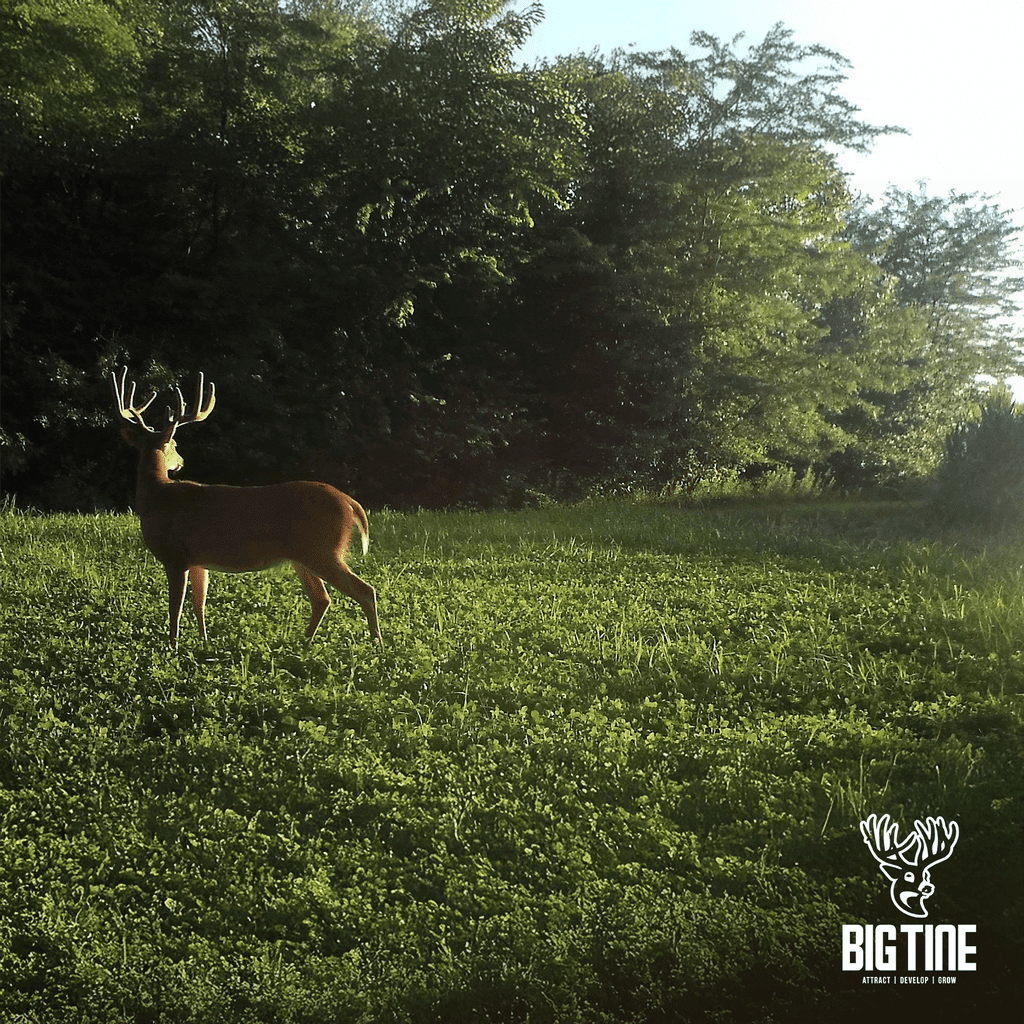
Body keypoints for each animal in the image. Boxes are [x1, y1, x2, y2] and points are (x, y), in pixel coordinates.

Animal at [112, 366, 381, 648]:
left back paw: (377, 644)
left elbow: (175, 607)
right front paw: (203, 641)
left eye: (175, 445)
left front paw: (173, 645)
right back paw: (303, 642)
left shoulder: (176, 557)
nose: (181, 462)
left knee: (365, 591)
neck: (156, 496)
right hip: (305, 556)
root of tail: (350, 503)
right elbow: (199, 604)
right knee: (322, 598)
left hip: (324, 550)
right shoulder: (197, 560)